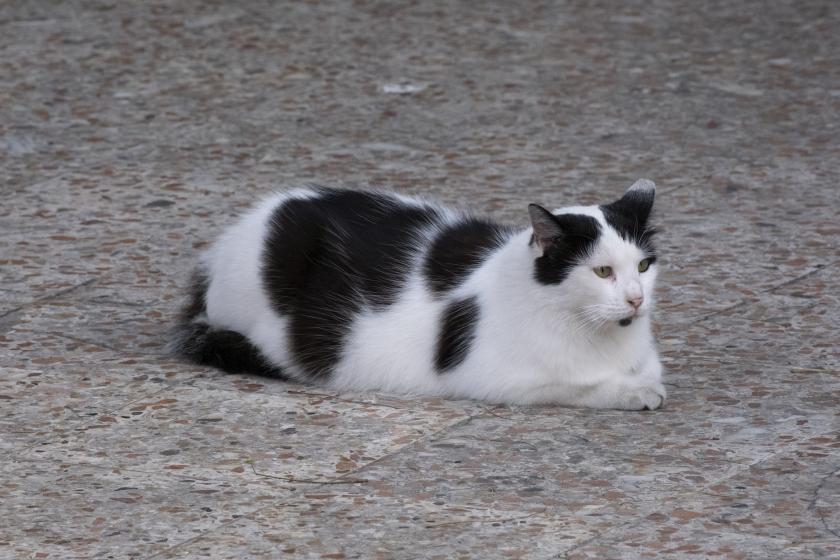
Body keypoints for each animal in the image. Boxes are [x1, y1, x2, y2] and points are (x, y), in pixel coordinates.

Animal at [171, 180, 668, 412]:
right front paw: (632, 392)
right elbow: (579, 385)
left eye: (643, 267)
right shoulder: (498, 378)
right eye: (602, 271)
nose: (635, 299)